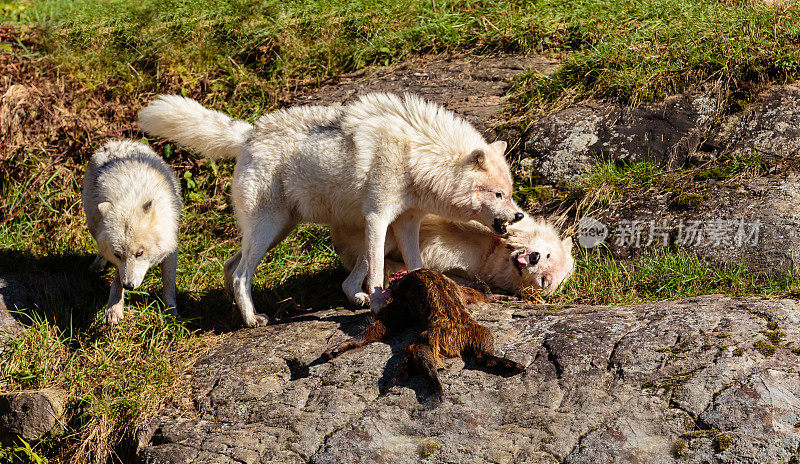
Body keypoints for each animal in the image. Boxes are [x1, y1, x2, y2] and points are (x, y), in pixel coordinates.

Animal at [81, 141, 181, 326]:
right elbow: (117, 279)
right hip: (92, 222)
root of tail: (116, 142)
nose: (129, 286)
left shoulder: (171, 248)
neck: (130, 199)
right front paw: (114, 308)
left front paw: (171, 311)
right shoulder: (120, 264)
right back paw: (98, 264)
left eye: (139, 253)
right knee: (100, 248)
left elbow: (169, 283)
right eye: (117, 254)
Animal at [138, 92, 524, 326]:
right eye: (498, 194)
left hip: (277, 230)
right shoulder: (377, 218)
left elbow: (415, 265)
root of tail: (249, 133)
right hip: (268, 229)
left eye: (510, 193)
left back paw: (241, 315)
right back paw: (252, 320)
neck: (416, 155)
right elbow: (378, 272)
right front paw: (380, 306)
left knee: (230, 266)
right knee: (239, 273)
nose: (519, 216)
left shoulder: (406, 223)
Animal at [332, 212, 576, 302]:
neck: (491, 254)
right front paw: (513, 237)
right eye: (548, 254)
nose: (534, 257)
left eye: (544, 281)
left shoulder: (474, 270)